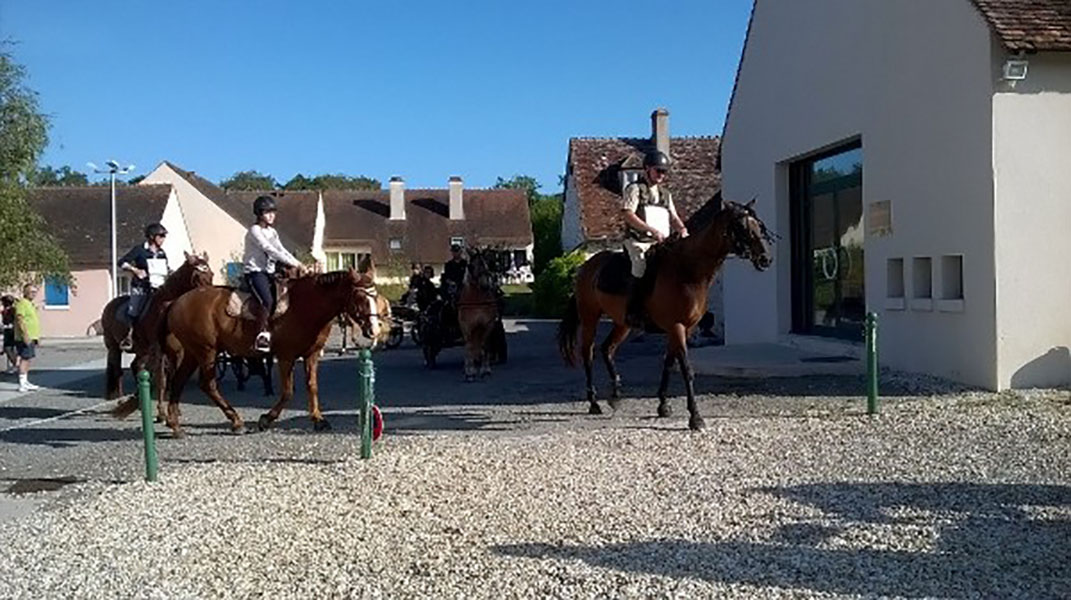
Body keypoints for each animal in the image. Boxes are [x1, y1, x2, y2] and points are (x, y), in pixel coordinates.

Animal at [100, 251, 214, 402]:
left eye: (211, 274)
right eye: (197, 276)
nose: (209, 298)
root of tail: (109, 306)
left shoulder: (177, 350)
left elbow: (172, 373)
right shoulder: (158, 349)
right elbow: (161, 374)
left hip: (141, 349)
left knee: (135, 366)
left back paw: (138, 394)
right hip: (114, 346)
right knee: (117, 369)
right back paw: (118, 395)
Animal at [114, 267, 380, 437]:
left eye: (375, 296)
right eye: (360, 296)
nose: (375, 329)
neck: (305, 305)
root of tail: (175, 302)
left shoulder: (311, 355)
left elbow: (312, 387)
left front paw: (318, 419)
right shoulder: (286, 357)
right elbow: (288, 391)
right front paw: (266, 419)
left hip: (192, 353)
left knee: (178, 382)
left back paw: (176, 426)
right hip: (206, 352)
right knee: (207, 385)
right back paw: (235, 421)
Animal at [457, 248, 502, 381]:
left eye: (486, 264)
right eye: (471, 266)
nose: (485, 285)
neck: (477, 300)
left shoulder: (487, 324)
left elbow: (485, 346)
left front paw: (485, 370)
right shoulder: (467, 326)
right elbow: (469, 346)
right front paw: (470, 372)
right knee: (469, 345)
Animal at [557, 199, 774, 431]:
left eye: (759, 226)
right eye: (742, 227)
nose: (765, 259)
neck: (688, 271)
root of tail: (586, 267)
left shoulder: (684, 329)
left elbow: (669, 363)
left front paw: (663, 405)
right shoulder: (677, 326)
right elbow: (686, 369)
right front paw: (695, 417)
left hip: (623, 323)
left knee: (607, 349)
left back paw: (615, 395)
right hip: (590, 318)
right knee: (588, 353)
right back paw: (593, 402)